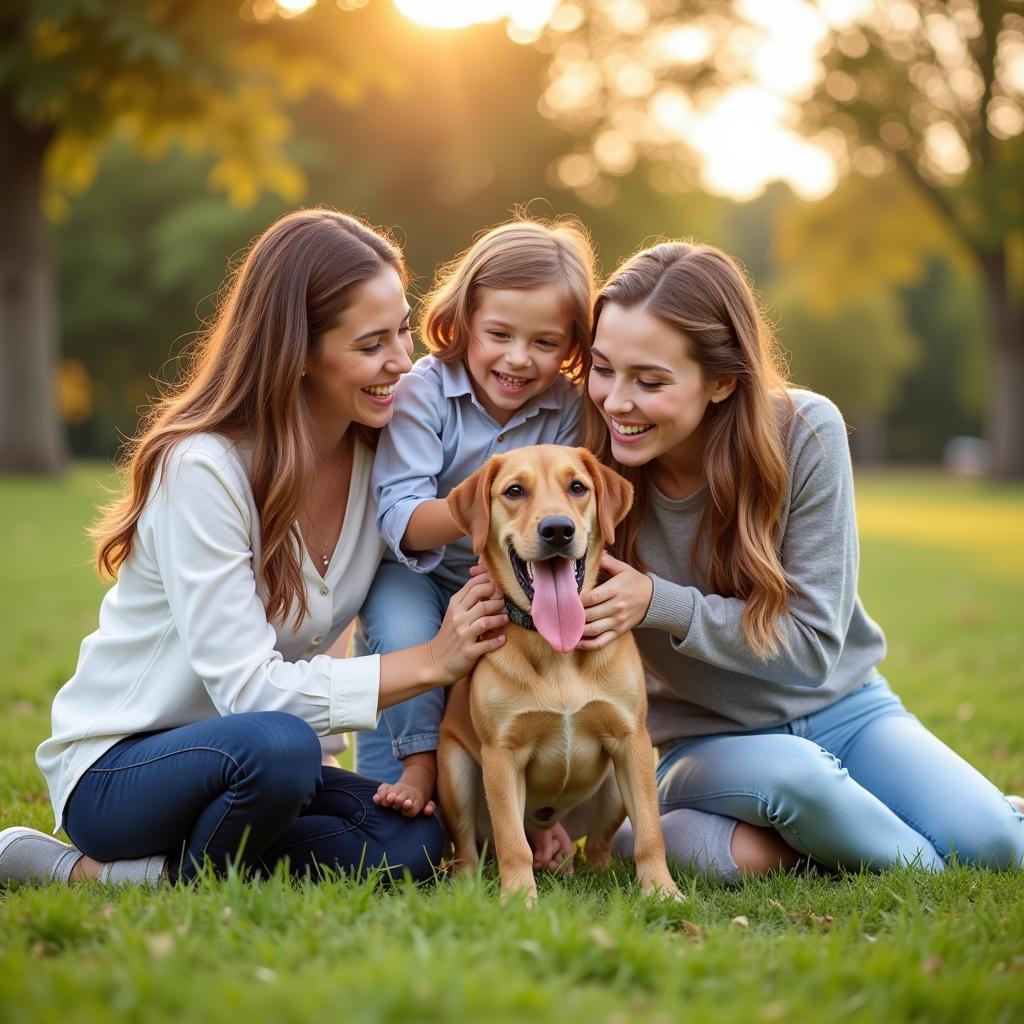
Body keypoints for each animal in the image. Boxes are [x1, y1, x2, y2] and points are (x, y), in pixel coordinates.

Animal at [438, 444, 684, 901]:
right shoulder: (501, 754)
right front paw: (518, 899)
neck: (558, 652)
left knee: (599, 845)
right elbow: (512, 842)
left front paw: (661, 890)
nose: (557, 530)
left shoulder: (632, 740)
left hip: (615, 789)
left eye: (578, 487)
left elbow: (649, 832)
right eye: (514, 491)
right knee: (469, 848)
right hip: (456, 771)